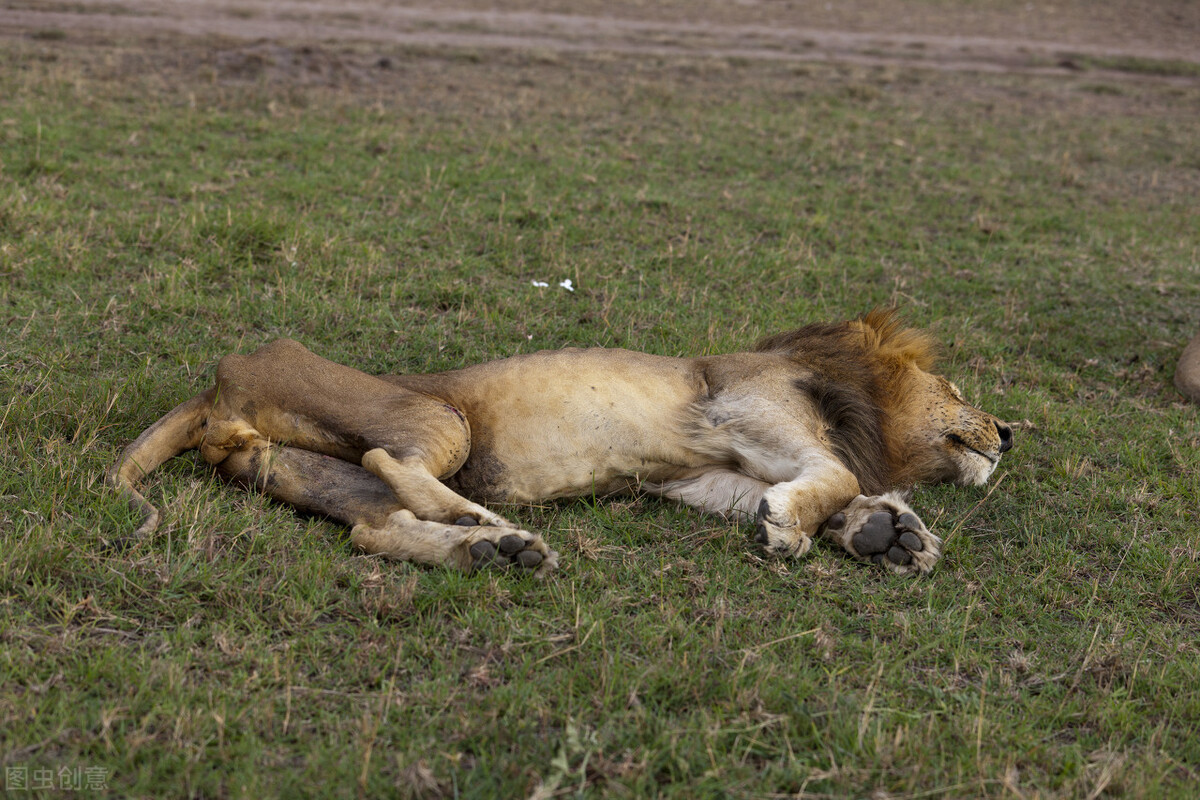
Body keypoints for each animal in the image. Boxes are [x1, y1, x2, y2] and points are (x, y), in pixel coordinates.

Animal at [110, 309, 1012, 578]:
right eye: (957, 390)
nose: (1009, 432)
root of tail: (218, 382)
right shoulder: (741, 405)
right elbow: (831, 475)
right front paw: (811, 526)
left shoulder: (701, 474)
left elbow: (803, 491)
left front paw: (888, 533)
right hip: (438, 418)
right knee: (388, 459)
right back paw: (480, 525)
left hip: (295, 467)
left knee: (373, 522)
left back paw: (492, 549)